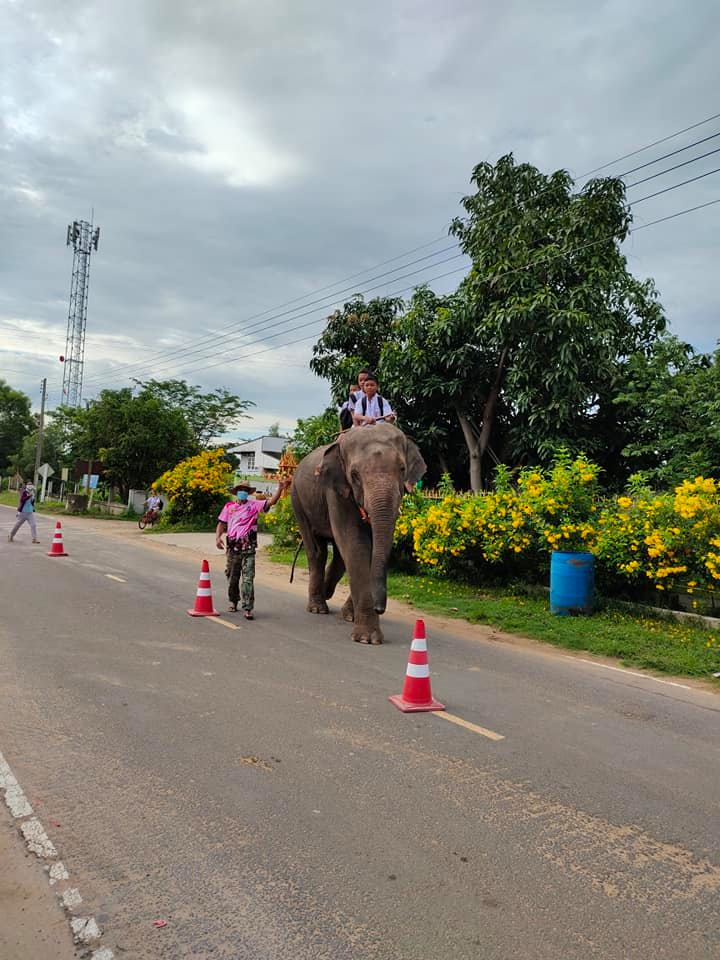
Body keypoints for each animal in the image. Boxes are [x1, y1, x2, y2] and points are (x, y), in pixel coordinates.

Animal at [290, 422, 424, 640]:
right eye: (354, 475)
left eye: (402, 469)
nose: (380, 608)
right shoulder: (336, 491)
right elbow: (355, 544)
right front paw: (367, 638)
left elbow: (368, 549)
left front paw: (351, 618)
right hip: (298, 500)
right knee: (317, 551)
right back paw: (318, 607)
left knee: (339, 556)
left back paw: (328, 594)